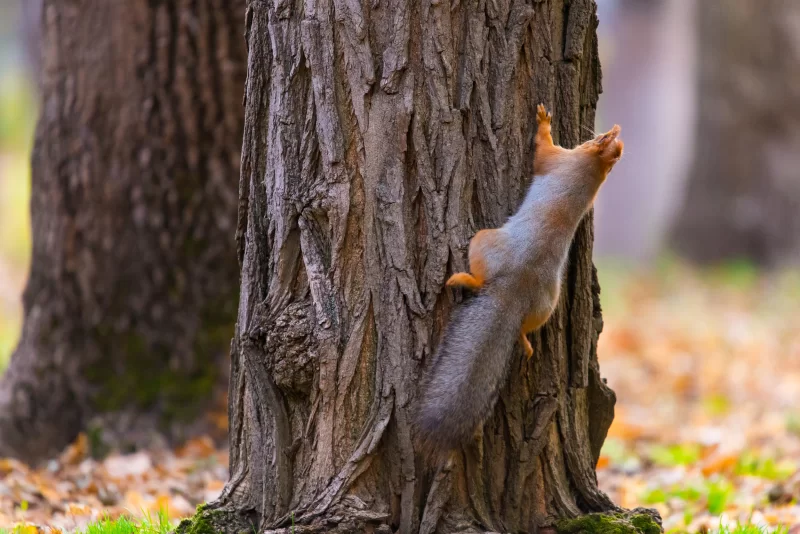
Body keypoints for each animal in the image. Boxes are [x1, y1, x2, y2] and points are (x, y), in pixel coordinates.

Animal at [414, 104, 623, 457]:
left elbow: (542, 151)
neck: (593, 170)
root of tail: (515, 288)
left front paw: (543, 121)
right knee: (529, 325)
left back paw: (463, 278)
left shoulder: (557, 161)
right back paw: (525, 342)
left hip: (484, 241)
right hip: (546, 304)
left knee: (478, 275)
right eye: (610, 139)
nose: (603, 132)